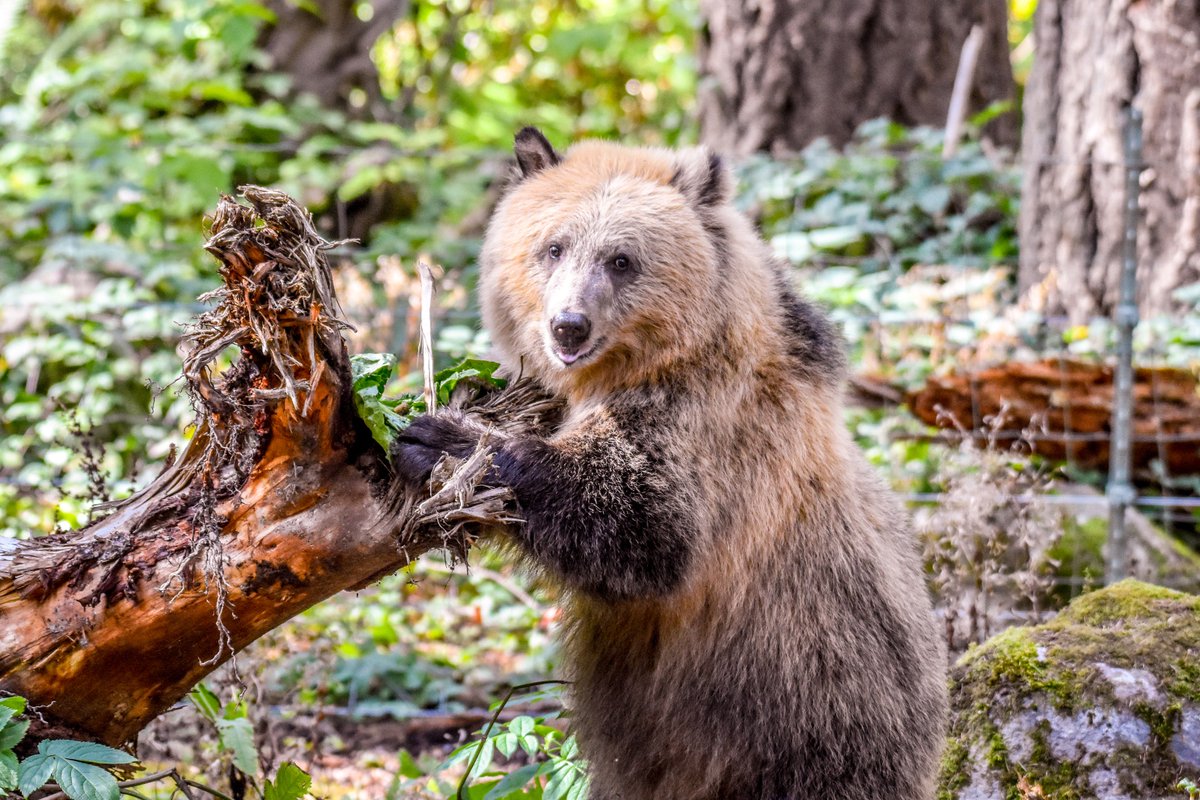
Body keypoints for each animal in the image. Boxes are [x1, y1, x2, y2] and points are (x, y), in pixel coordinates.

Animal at [390, 128, 948, 800]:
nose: (568, 325)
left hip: (812, 709)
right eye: (553, 246)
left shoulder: (707, 432)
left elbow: (641, 524)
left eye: (621, 259)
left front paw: (446, 439)